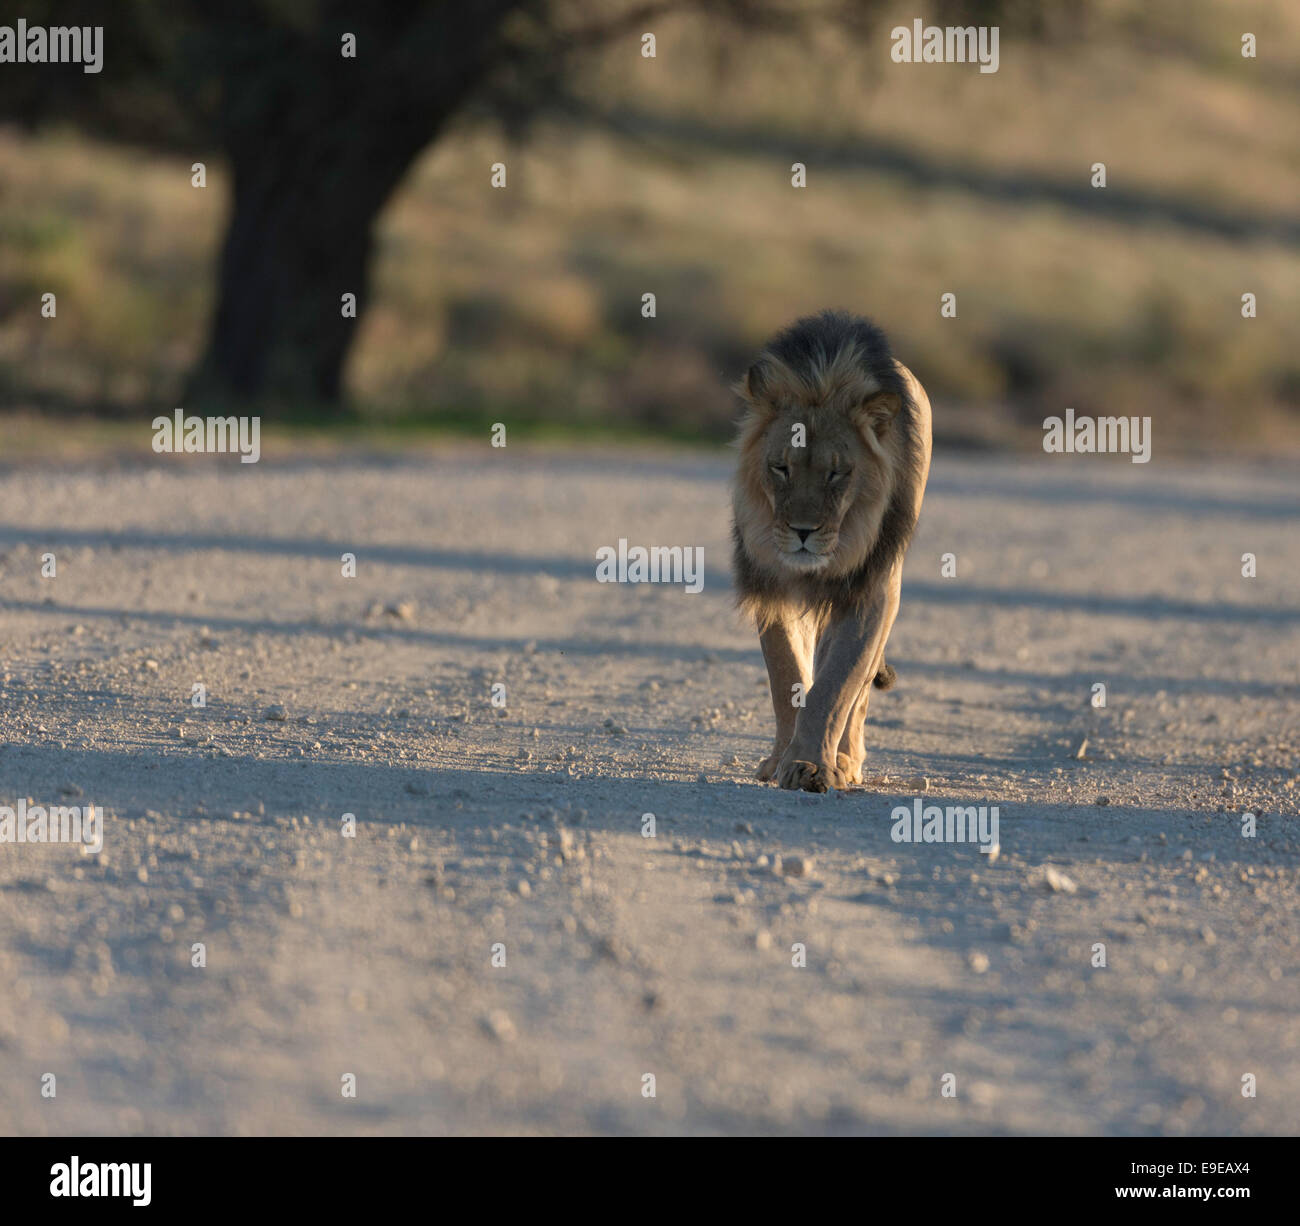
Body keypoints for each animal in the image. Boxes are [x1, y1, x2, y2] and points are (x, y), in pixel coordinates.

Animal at [733, 312, 935, 790]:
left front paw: (811, 765)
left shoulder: (872, 591)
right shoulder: (772, 586)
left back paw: (846, 760)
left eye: (837, 473)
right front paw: (782, 760)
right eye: (780, 467)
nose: (803, 532)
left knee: (857, 693)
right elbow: (786, 675)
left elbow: (837, 684)